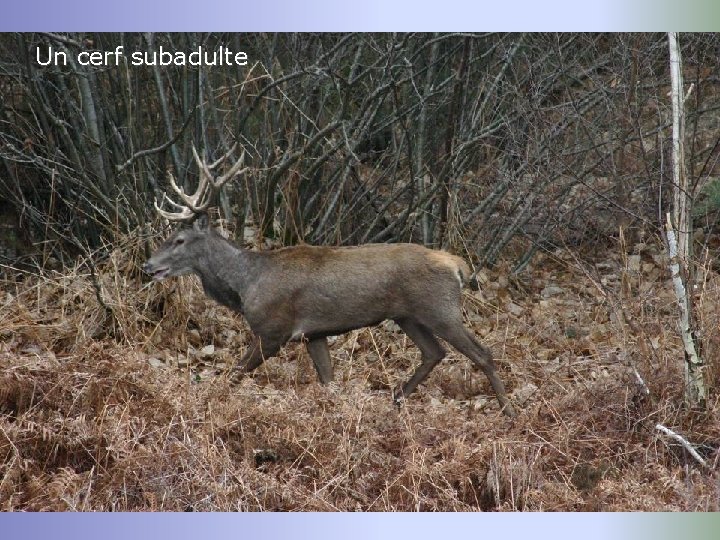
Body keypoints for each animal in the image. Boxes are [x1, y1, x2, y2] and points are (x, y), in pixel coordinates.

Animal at [143, 147, 516, 417]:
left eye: (179, 240)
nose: (148, 265)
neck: (247, 284)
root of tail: (457, 265)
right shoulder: (314, 334)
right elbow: (328, 381)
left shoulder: (274, 330)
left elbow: (235, 373)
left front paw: (211, 400)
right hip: (407, 315)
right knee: (434, 353)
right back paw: (396, 398)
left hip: (440, 308)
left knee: (482, 353)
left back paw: (508, 410)